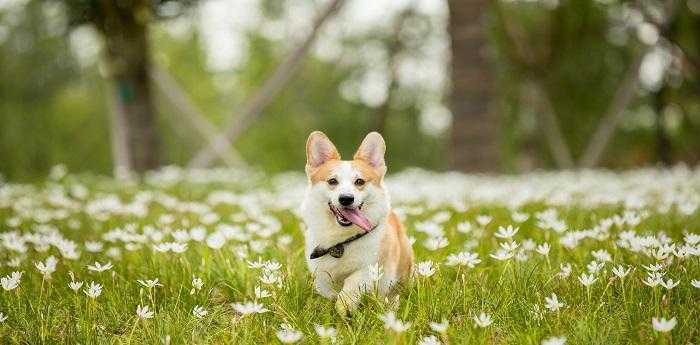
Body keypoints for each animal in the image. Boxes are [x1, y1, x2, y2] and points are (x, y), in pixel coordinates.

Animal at [300, 131, 410, 314]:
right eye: (332, 181)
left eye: (359, 181)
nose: (346, 199)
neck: (341, 242)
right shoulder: (321, 273)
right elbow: (327, 289)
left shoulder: (369, 267)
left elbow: (351, 285)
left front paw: (343, 308)